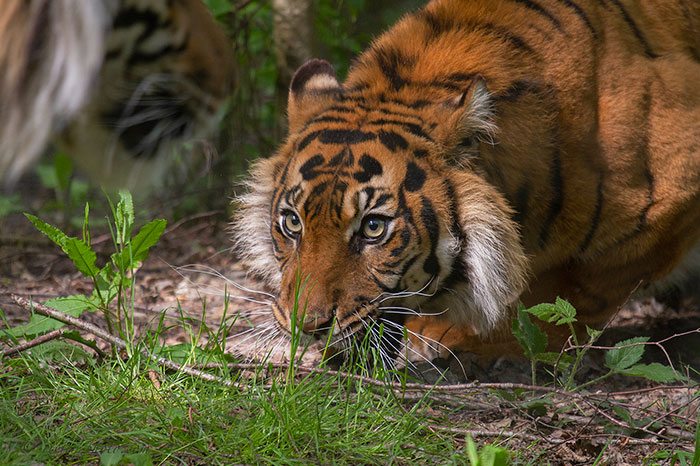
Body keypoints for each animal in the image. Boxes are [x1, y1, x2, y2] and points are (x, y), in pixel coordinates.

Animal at [232, 0, 700, 366]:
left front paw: (453, 341)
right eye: (292, 222)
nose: (307, 326)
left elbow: (568, 291)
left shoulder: (672, 195)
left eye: (373, 227)